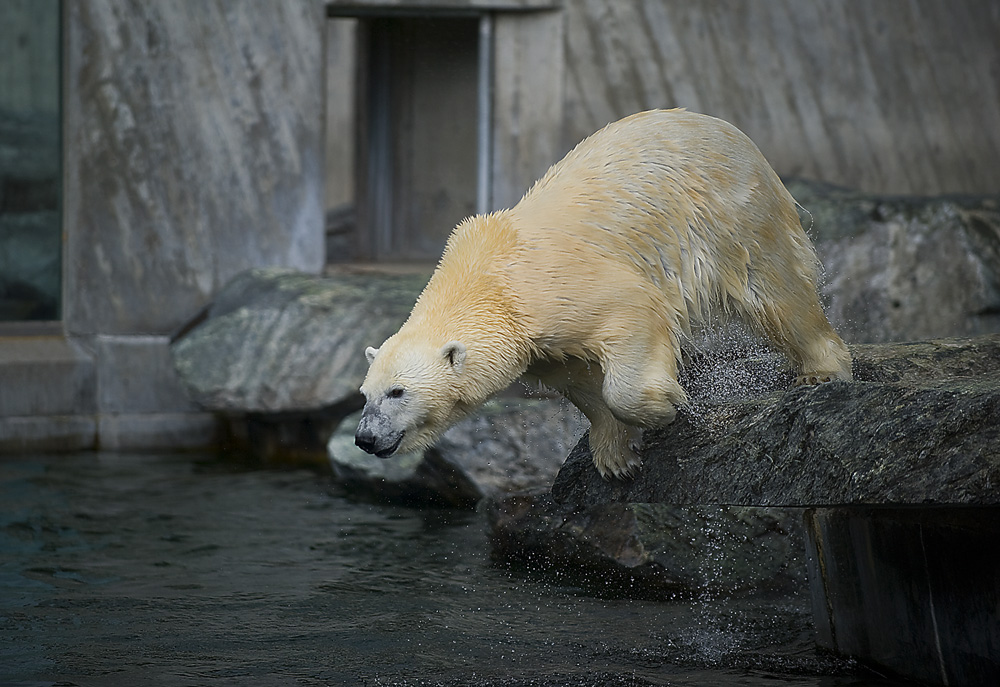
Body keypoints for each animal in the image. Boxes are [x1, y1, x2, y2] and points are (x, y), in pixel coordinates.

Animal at [352, 110, 852, 482]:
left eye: (398, 392)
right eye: (365, 394)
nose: (365, 438)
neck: (485, 280)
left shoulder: (557, 289)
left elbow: (631, 315)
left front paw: (663, 408)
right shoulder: (538, 344)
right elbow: (579, 378)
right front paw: (616, 456)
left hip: (733, 210)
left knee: (774, 288)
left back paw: (823, 369)